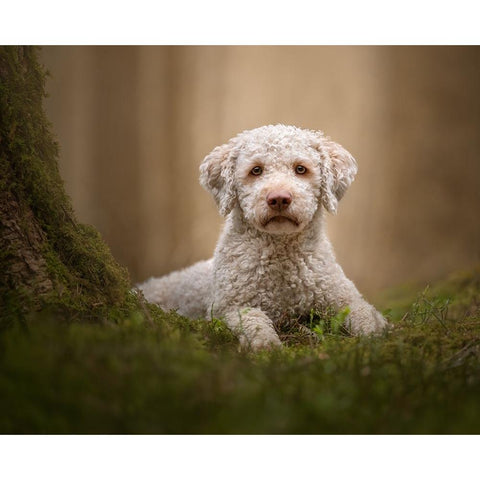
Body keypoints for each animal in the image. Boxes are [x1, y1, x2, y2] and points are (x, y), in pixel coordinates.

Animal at [139, 124, 386, 348]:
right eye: (256, 170)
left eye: (300, 169)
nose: (279, 198)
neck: (282, 254)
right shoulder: (230, 306)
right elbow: (254, 321)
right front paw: (266, 344)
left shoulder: (342, 295)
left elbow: (364, 312)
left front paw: (374, 333)